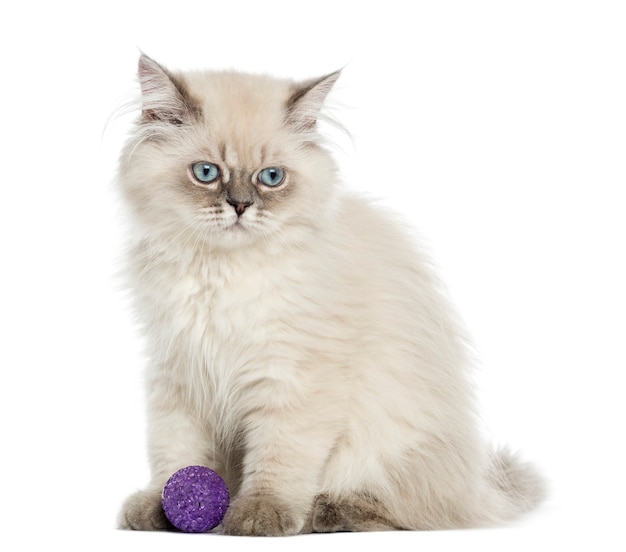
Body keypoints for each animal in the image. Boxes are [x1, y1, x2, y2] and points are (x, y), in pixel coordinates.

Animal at [116, 56, 540, 536]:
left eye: (272, 178)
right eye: (206, 173)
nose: (241, 206)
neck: (223, 273)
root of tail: (481, 483)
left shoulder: (294, 378)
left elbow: (279, 460)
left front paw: (257, 516)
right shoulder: (179, 373)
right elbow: (176, 454)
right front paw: (165, 505)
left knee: (409, 508)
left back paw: (330, 512)